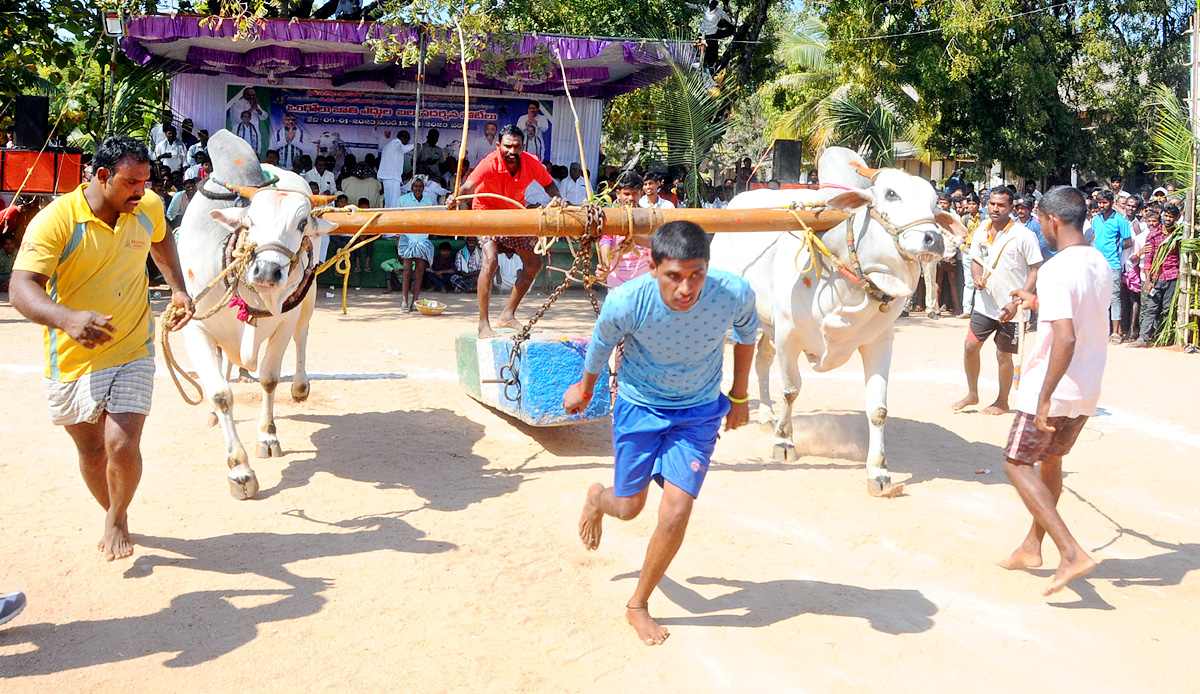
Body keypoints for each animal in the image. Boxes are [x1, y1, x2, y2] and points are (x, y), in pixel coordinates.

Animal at [175, 129, 333, 497]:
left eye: (302, 223)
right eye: (251, 221)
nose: (267, 271)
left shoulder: (283, 324)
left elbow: (270, 378)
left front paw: (267, 436)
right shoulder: (196, 329)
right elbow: (220, 392)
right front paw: (240, 470)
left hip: (309, 298)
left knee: (303, 334)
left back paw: (300, 387)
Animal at [710, 150, 955, 494]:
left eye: (934, 204)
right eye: (891, 194)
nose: (933, 239)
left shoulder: (879, 342)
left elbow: (878, 409)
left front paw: (878, 471)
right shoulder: (788, 335)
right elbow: (790, 389)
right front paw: (784, 441)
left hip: (768, 325)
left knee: (761, 360)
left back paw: (767, 415)